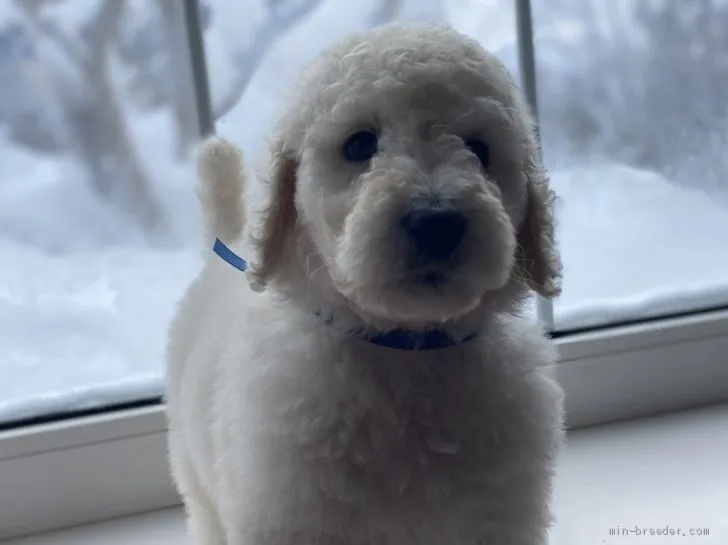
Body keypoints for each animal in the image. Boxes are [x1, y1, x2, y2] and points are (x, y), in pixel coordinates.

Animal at [168, 22, 564, 544]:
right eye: (359, 145)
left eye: (480, 150)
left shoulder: (501, 517)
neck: (404, 349)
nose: (436, 222)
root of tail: (226, 237)